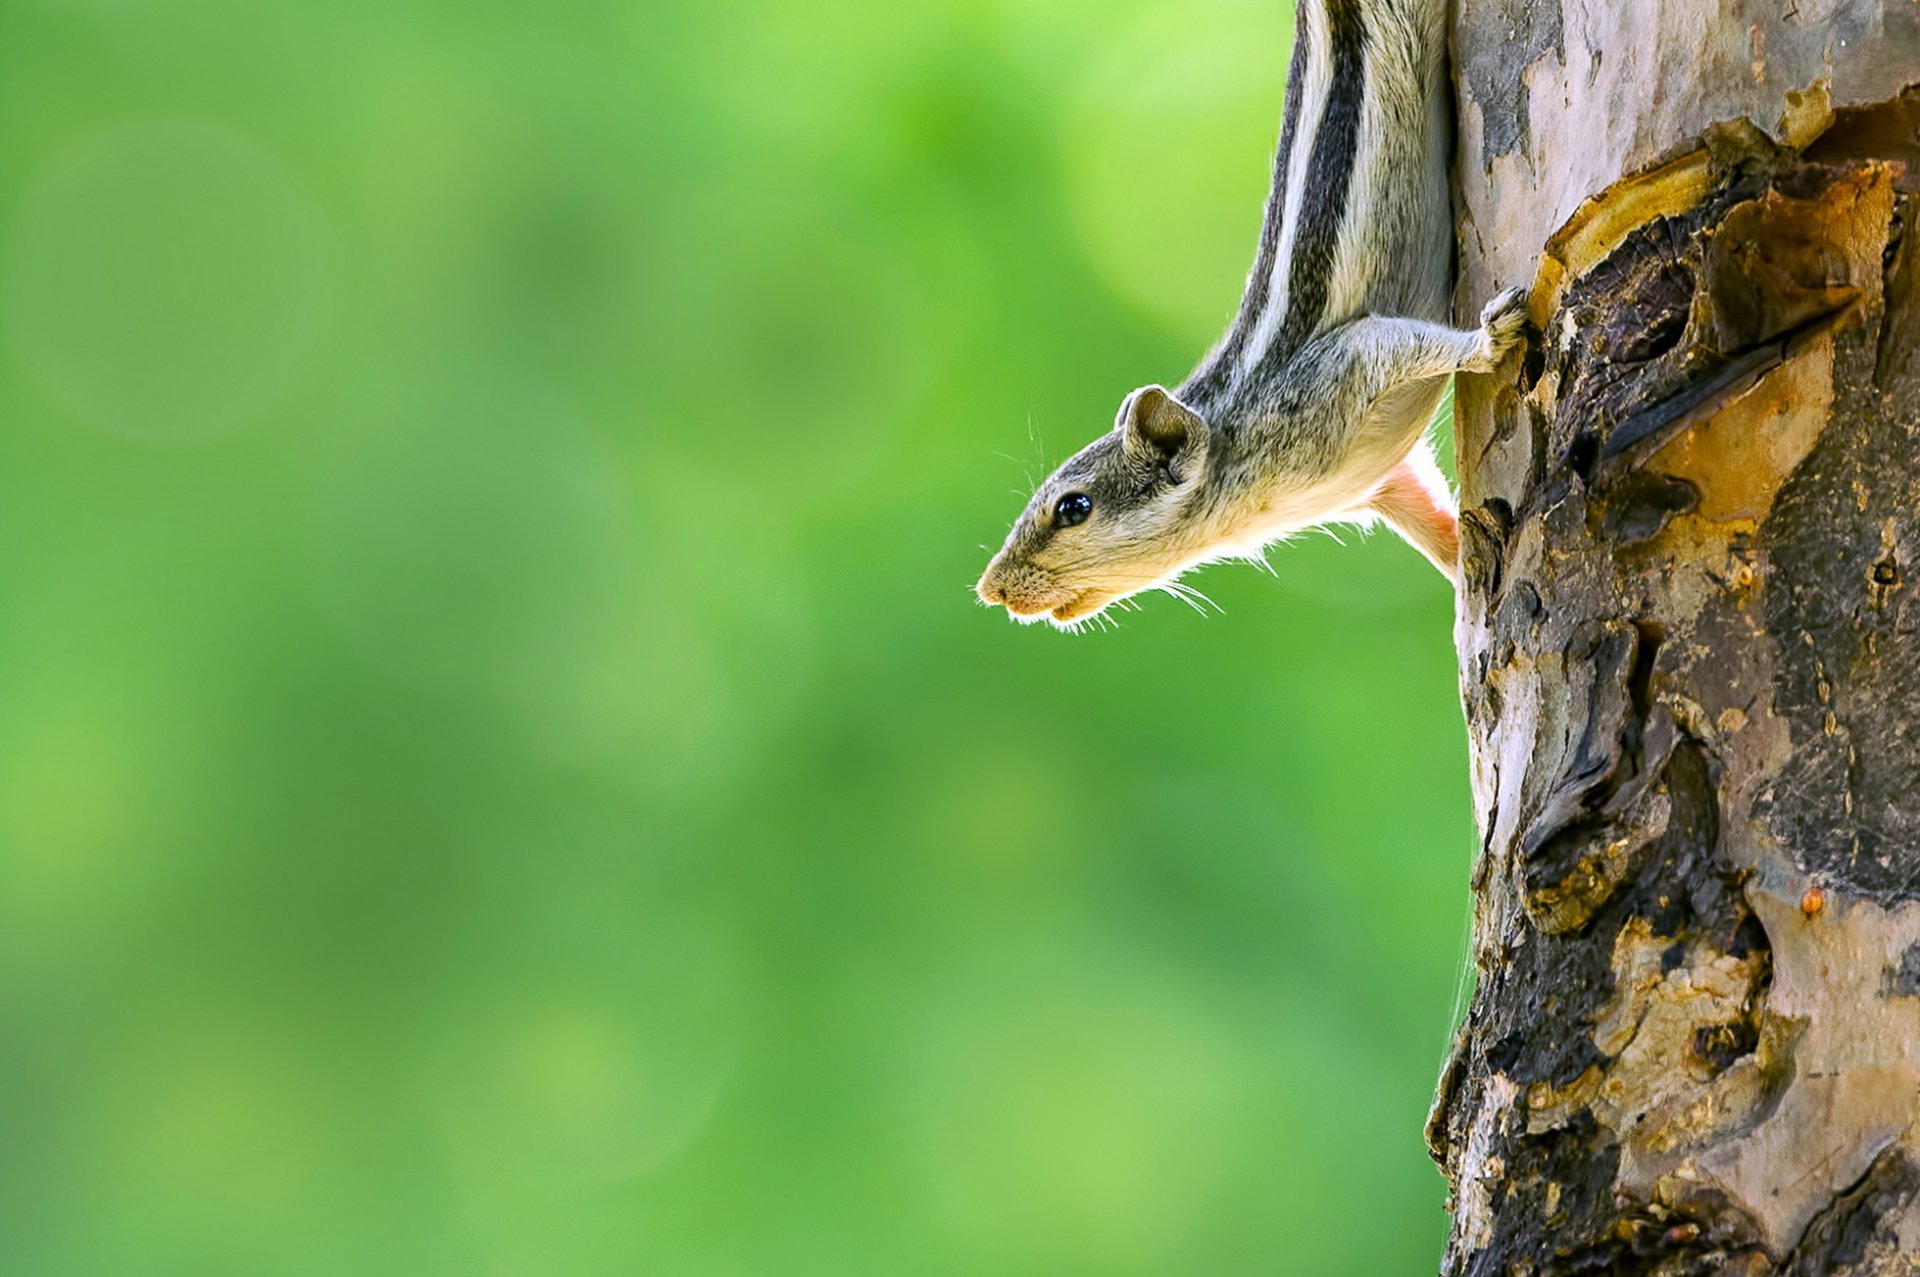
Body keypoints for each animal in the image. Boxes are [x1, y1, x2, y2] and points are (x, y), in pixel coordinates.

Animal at [976, 0, 1528, 629]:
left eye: (1074, 507)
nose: (990, 588)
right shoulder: (1380, 480)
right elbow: (1423, 504)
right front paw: (1465, 562)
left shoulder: (1338, 368)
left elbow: (1399, 343)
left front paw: (1489, 341)